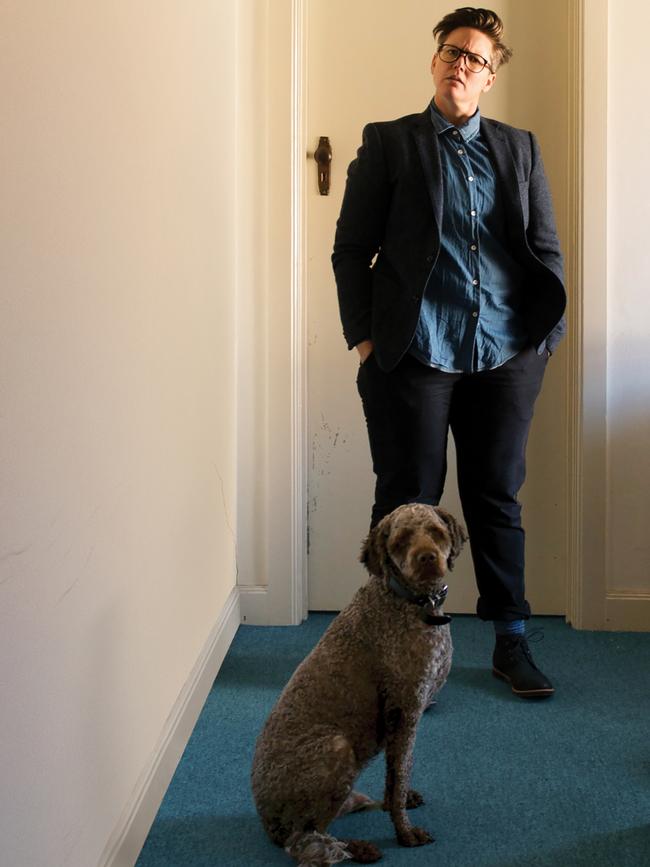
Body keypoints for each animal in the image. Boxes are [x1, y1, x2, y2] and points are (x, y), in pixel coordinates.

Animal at [249, 506, 466, 864]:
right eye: (401, 540)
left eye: (436, 532)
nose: (426, 558)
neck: (409, 603)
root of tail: (267, 824)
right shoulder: (405, 709)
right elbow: (399, 773)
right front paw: (405, 833)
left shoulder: (402, 717)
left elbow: (397, 775)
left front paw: (399, 803)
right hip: (336, 747)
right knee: (305, 841)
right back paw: (357, 848)